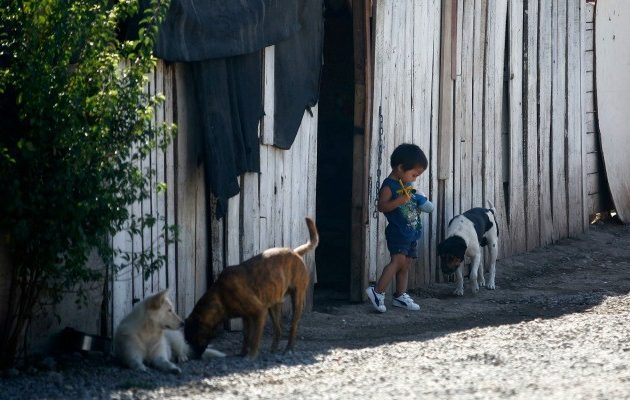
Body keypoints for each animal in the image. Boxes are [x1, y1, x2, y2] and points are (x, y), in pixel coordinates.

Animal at [185, 217, 318, 358]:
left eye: (192, 338)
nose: (193, 357)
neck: (220, 296)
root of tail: (295, 252)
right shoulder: (246, 317)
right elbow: (246, 336)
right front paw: (242, 353)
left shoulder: (260, 312)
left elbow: (254, 338)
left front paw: (251, 355)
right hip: (274, 305)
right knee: (278, 329)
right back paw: (273, 350)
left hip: (296, 299)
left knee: (293, 326)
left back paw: (288, 349)